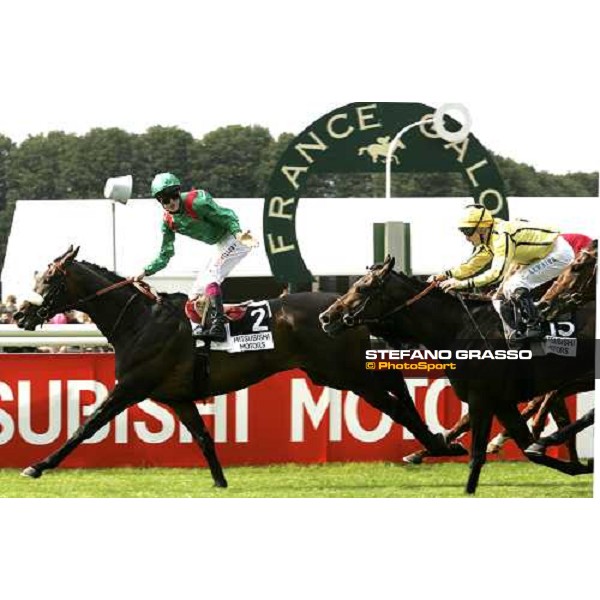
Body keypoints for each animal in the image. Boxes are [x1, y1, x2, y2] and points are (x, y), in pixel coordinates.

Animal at [12, 248, 464, 488]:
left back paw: (437, 444)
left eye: (49, 281)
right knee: (394, 382)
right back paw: (437, 443)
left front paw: (39, 464)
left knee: (395, 403)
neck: (138, 320)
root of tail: (341, 312)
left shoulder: (131, 385)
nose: (19, 315)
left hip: (343, 374)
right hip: (340, 370)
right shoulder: (176, 396)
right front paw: (220, 480)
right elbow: (203, 436)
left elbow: (86, 425)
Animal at [318, 255, 596, 494]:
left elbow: (477, 455)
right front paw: (576, 465)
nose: (326, 317)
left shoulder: (481, 398)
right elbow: (526, 448)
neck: (459, 328)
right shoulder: (502, 402)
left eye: (363, 288)